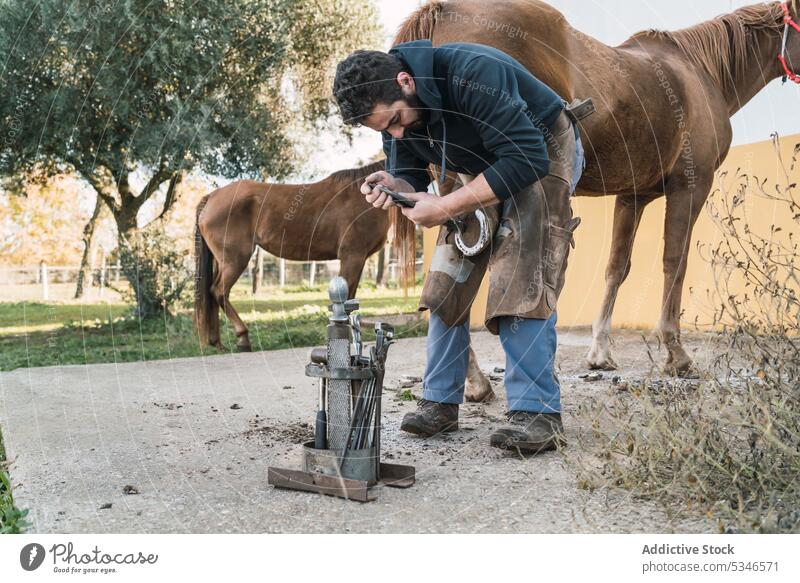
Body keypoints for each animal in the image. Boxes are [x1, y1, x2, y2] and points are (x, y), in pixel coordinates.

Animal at [192, 160, 412, 352]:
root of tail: (211, 198)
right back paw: (243, 338)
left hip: (222, 261)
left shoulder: (358, 260)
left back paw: (217, 342)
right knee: (218, 292)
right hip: (235, 260)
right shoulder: (352, 256)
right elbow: (346, 300)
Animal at [396, 0, 800, 374]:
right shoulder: (691, 185)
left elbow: (617, 267)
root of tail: (440, 13)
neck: (701, 72)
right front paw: (675, 352)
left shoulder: (633, 196)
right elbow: (675, 261)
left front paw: (600, 351)